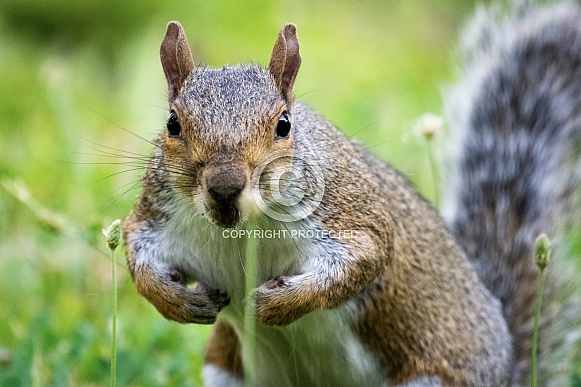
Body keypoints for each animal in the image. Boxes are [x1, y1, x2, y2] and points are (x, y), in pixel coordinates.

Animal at [121, 1, 580, 386]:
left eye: (284, 124)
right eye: (173, 123)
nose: (225, 187)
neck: (241, 230)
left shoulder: (347, 213)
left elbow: (363, 259)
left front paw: (278, 304)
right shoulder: (155, 214)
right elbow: (138, 258)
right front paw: (177, 301)